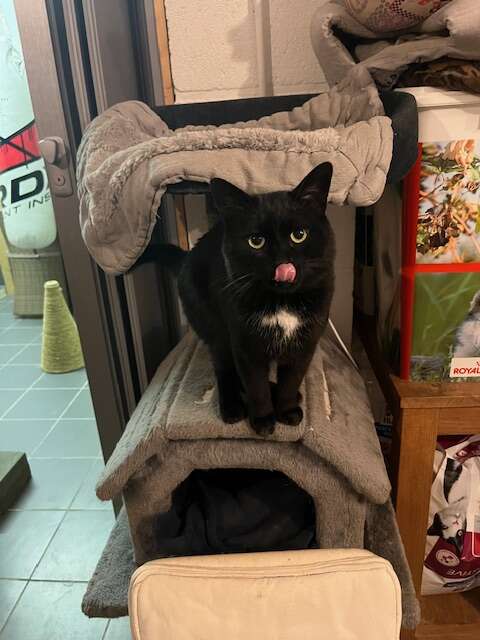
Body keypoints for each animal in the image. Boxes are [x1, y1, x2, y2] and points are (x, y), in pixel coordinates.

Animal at [154, 163, 335, 435]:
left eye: (299, 235)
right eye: (256, 241)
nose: (282, 263)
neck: (282, 302)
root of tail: (186, 257)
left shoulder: (305, 344)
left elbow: (292, 379)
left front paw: (287, 410)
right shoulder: (246, 344)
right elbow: (255, 384)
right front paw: (263, 420)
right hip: (215, 328)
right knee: (225, 369)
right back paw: (232, 407)